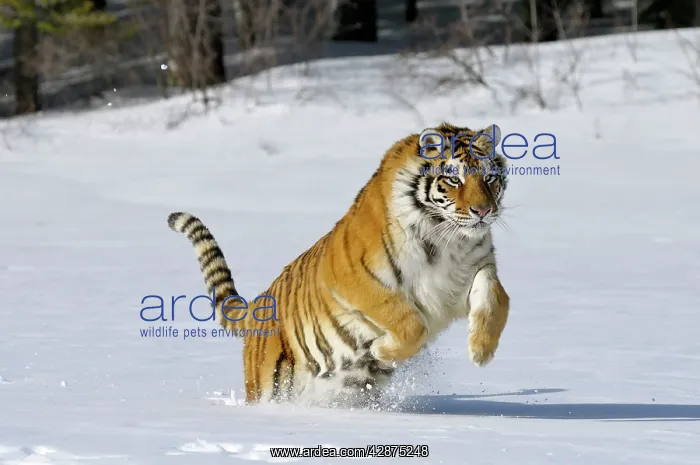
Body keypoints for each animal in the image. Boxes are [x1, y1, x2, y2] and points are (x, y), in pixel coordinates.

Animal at [167, 122, 511, 407]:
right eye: (454, 179)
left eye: (489, 178)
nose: (483, 211)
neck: (447, 240)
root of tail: (256, 308)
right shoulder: (356, 279)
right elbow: (410, 322)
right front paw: (381, 350)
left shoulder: (475, 268)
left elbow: (496, 300)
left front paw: (481, 351)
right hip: (272, 384)